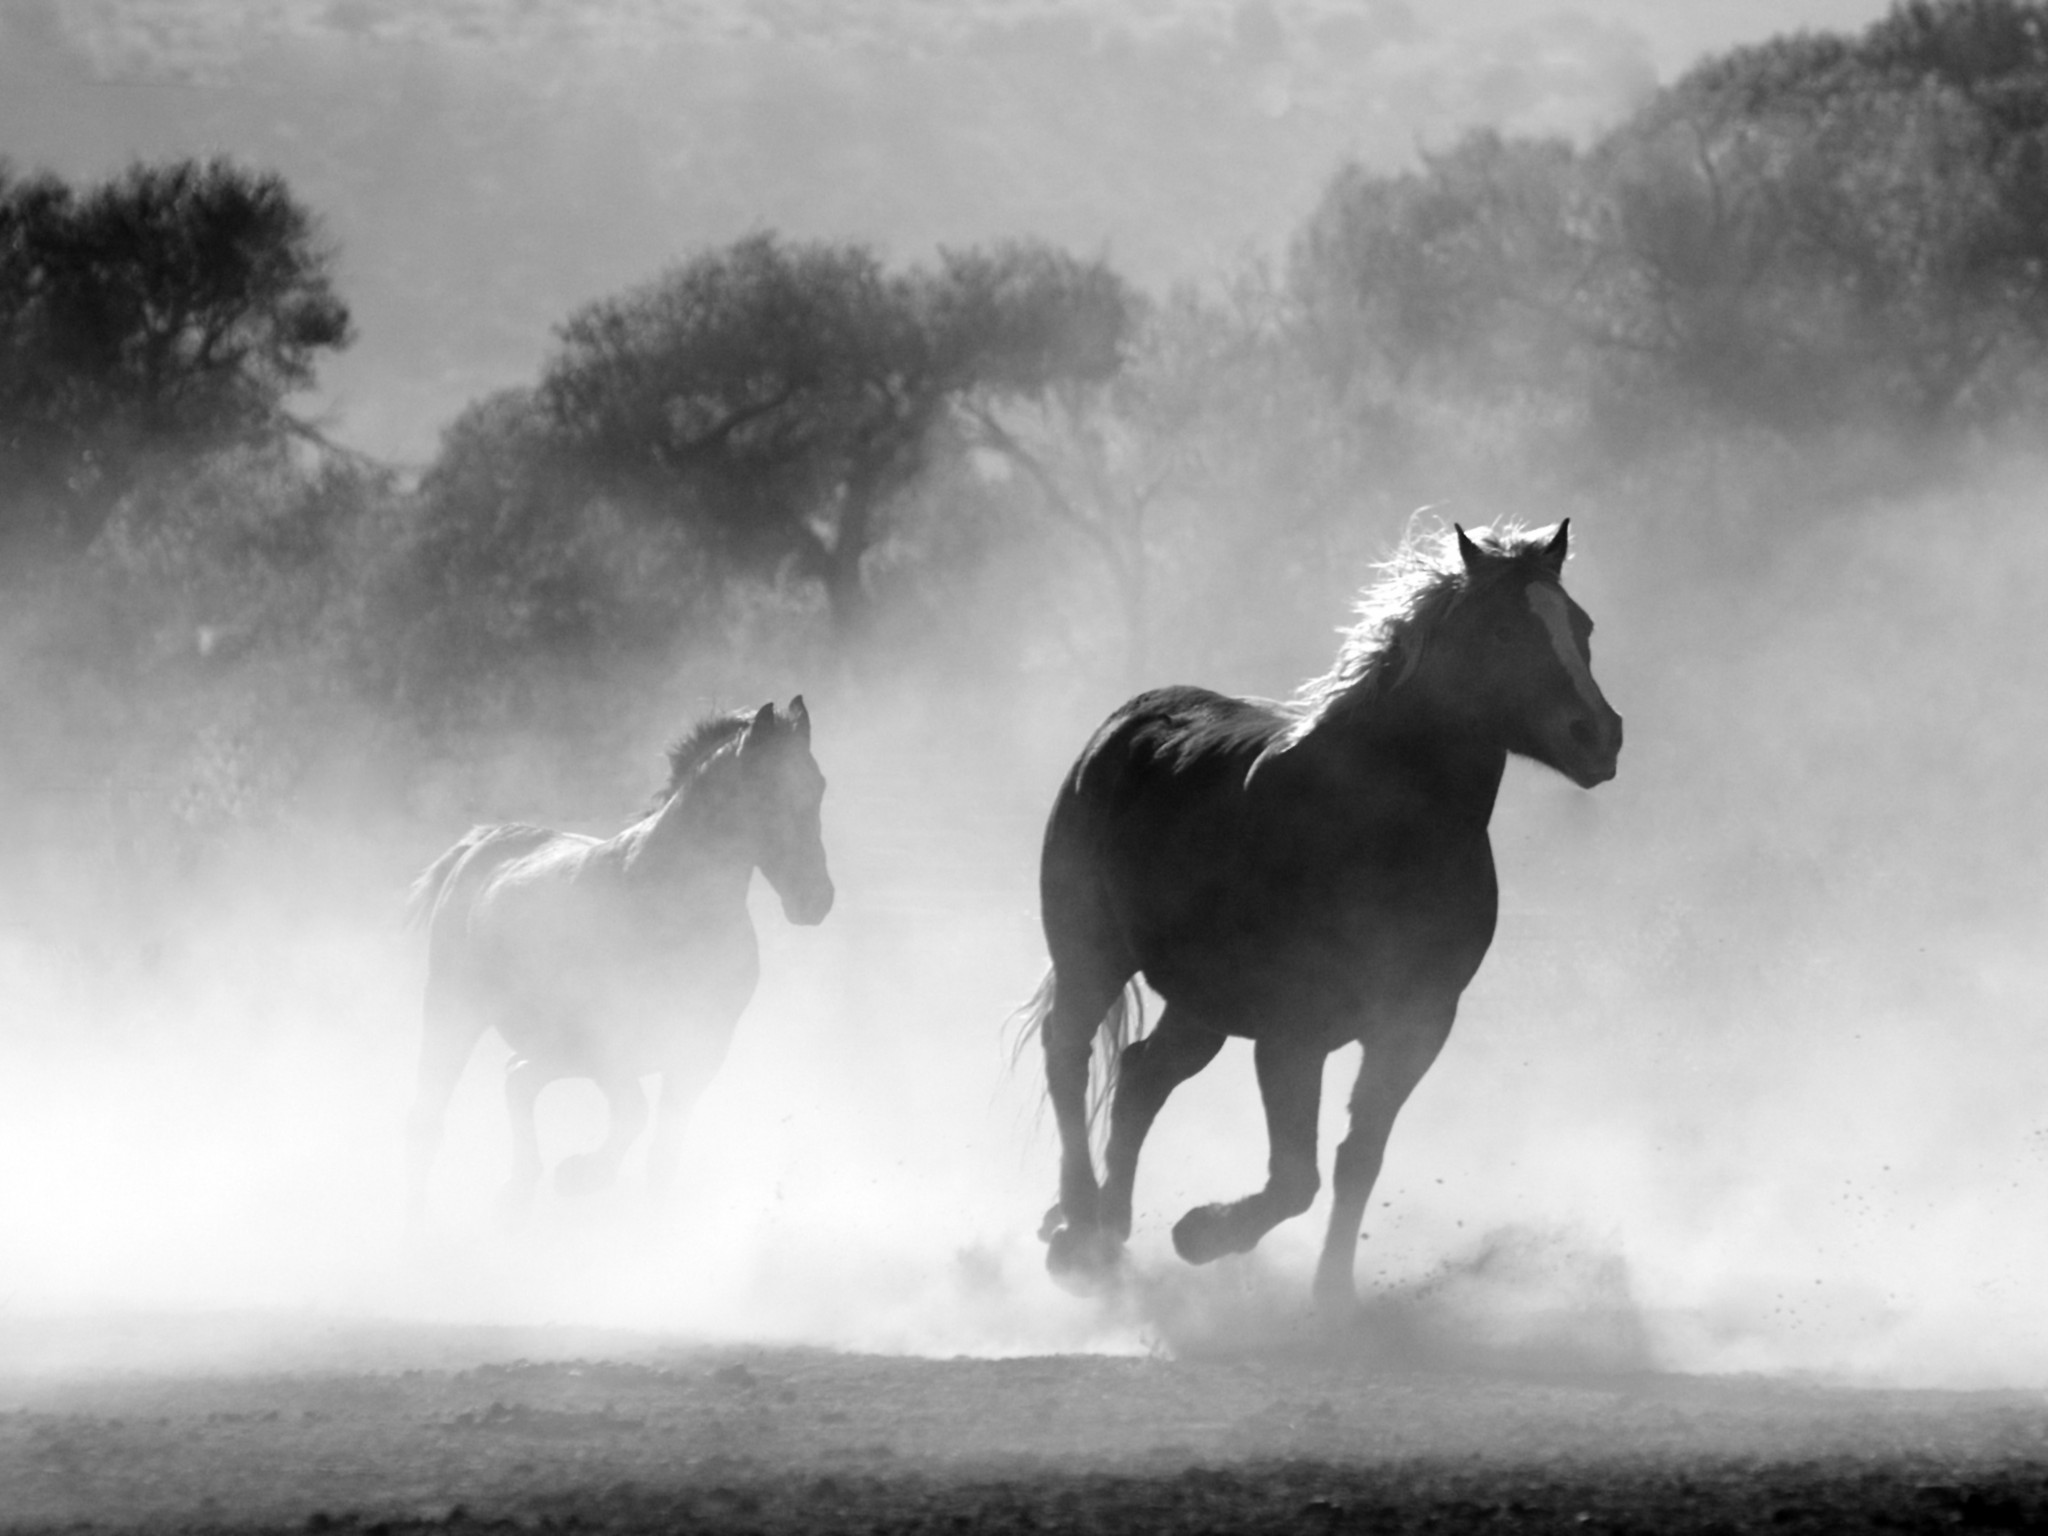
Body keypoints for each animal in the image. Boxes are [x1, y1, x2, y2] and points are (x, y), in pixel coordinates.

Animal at [403, 697, 832, 1219]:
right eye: (768, 790)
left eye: (818, 786)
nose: (816, 900)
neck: (670, 904)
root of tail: (479, 845)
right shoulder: (609, 1043)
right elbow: (633, 1114)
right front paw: (581, 1175)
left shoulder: (700, 1051)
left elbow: (661, 1154)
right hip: (454, 1009)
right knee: (432, 1113)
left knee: (516, 1078)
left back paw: (518, 1191)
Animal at [1017, 520, 1622, 1311]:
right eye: (1500, 631)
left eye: (1581, 626)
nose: (1599, 736)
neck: (1380, 830)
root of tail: (1124, 725)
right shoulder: (1292, 1033)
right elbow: (1295, 1178)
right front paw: (1203, 1233)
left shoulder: (1416, 1025)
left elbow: (1356, 1159)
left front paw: (1332, 1297)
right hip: (1092, 955)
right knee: (1069, 1055)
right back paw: (1080, 1231)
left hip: (1202, 1004)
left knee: (1141, 1074)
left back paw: (1111, 1232)